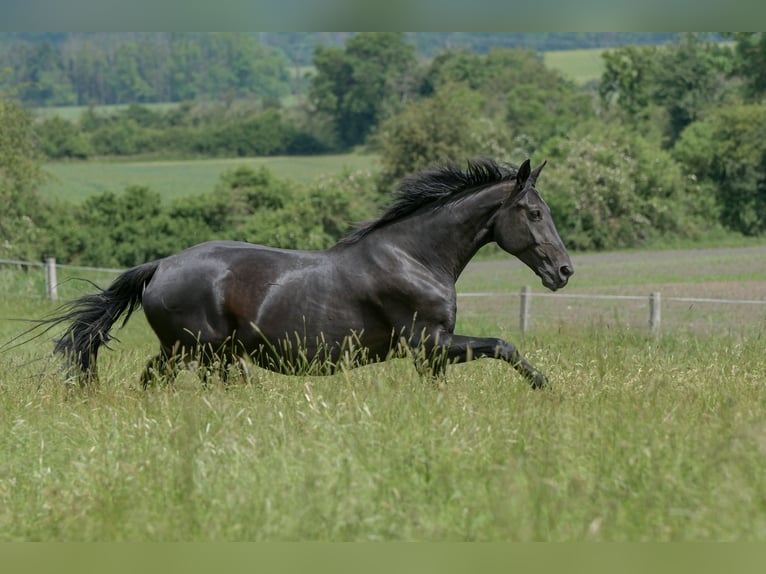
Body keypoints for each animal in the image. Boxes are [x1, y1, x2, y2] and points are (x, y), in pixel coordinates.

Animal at [48, 160, 572, 390]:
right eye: (532, 212)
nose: (564, 271)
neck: (416, 257)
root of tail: (160, 266)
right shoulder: (430, 342)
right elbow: (504, 345)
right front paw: (544, 386)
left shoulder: (432, 354)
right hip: (200, 351)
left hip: (197, 353)